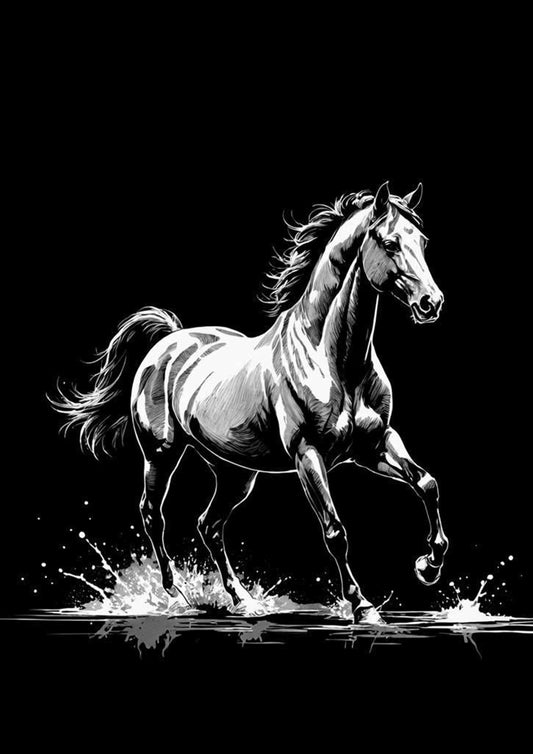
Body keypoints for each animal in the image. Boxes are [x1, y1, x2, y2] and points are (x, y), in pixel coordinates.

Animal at [51, 181, 447, 623]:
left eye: (423, 241)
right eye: (390, 242)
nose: (431, 303)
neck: (334, 360)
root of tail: (167, 342)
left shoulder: (375, 444)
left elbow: (427, 483)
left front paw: (428, 566)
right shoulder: (308, 455)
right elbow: (335, 530)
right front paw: (363, 606)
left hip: (234, 473)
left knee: (208, 525)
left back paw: (242, 600)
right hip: (161, 453)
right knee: (153, 514)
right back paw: (176, 596)